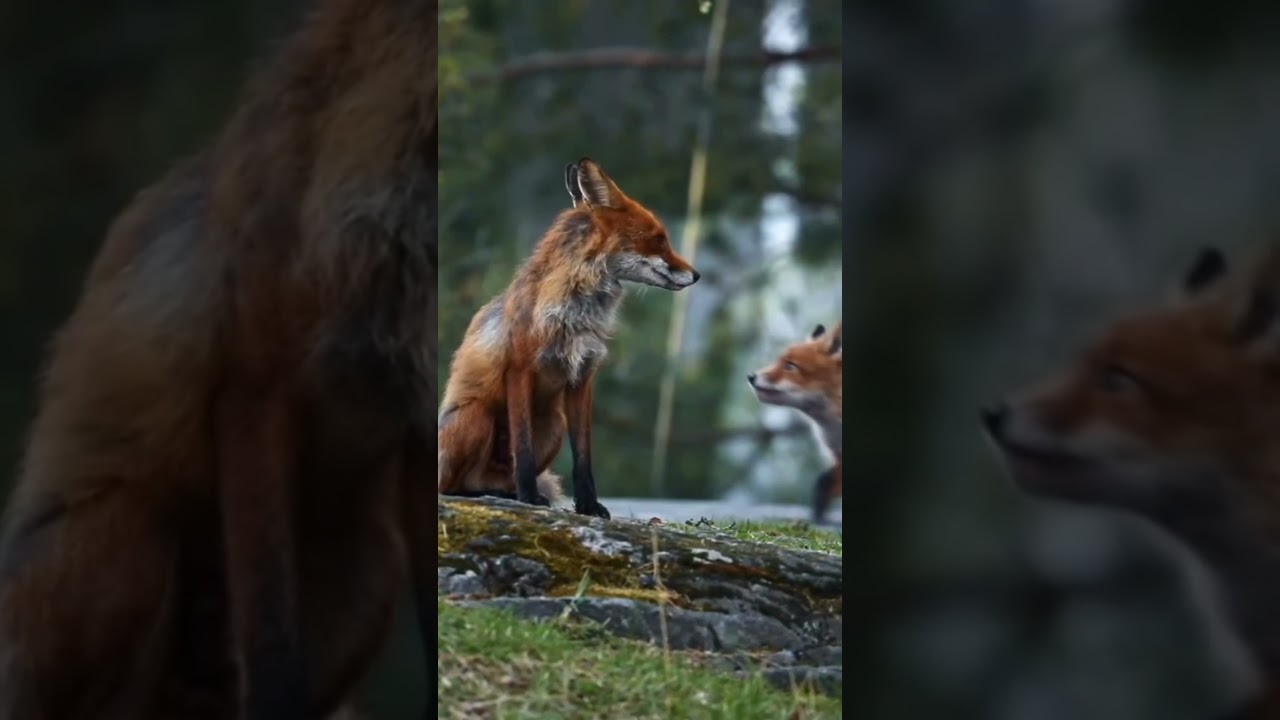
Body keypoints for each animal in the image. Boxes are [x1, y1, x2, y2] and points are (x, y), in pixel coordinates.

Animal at [437, 158, 700, 518]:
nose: (697, 275)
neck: (575, 314)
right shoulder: (519, 370)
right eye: (659, 240)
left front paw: (587, 505)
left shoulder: (582, 376)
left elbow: (583, 458)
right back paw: (499, 495)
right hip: (476, 417)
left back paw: (503, 493)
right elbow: (523, 449)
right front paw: (530, 498)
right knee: (450, 488)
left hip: (553, 424)